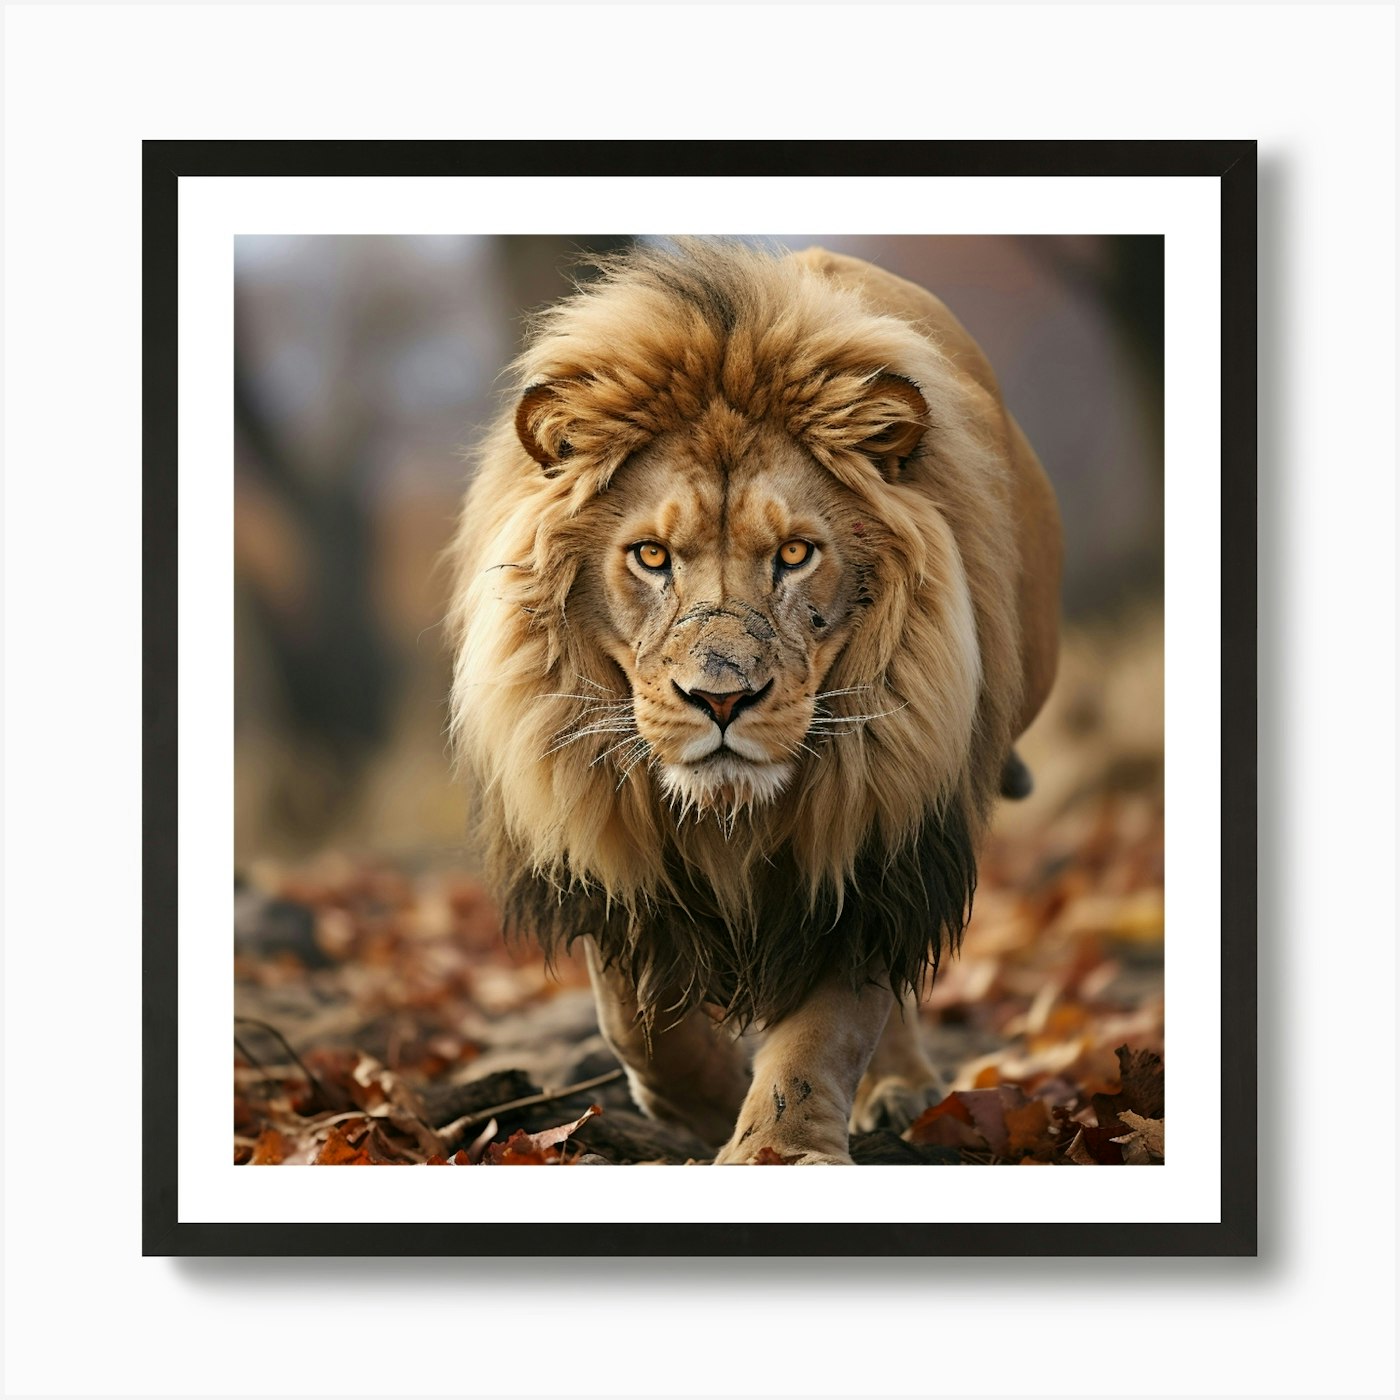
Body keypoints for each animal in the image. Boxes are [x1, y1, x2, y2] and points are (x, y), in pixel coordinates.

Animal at [447, 239, 1061, 1163]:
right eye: (652, 556)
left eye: (797, 554)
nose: (722, 701)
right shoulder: (599, 827)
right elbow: (633, 1016)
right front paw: (698, 1105)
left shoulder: (876, 828)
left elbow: (829, 1027)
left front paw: (780, 1147)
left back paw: (900, 1086)